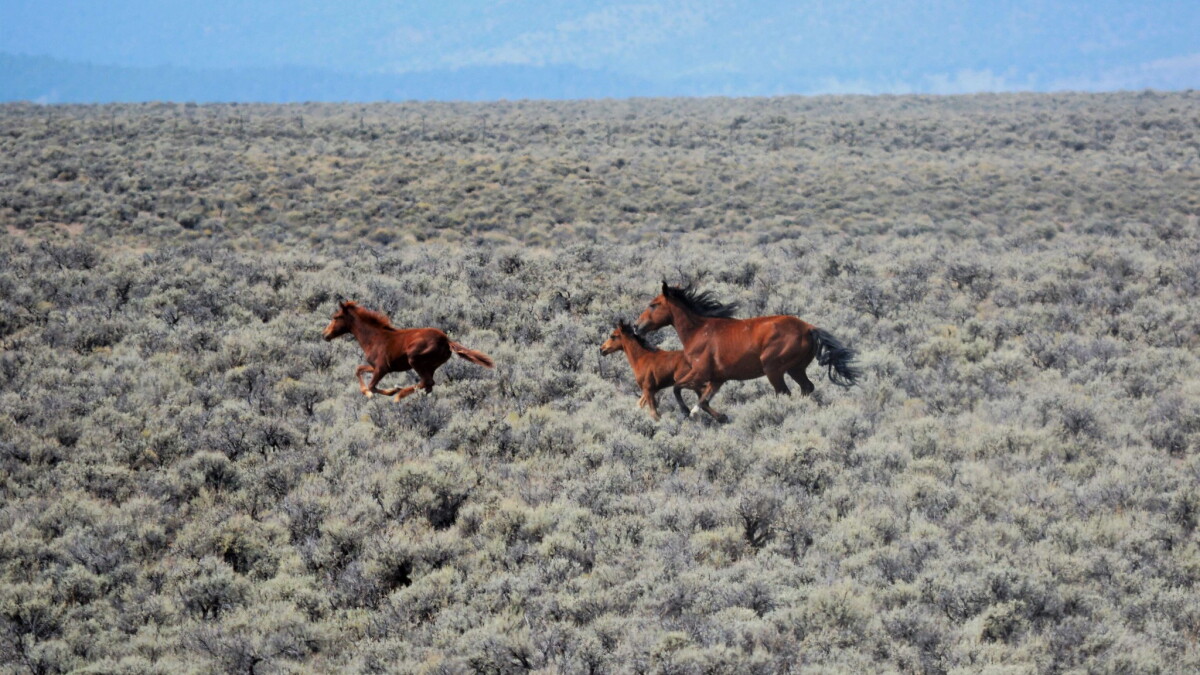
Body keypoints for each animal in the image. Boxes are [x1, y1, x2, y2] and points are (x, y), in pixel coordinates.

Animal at [322, 300, 494, 402]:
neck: (374, 337)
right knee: (428, 385)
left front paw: (390, 391)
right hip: (430, 366)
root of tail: (446, 340)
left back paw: (400, 395)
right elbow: (359, 369)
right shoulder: (375, 366)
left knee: (427, 382)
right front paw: (377, 391)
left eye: (336, 317)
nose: (325, 335)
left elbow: (372, 386)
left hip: (415, 360)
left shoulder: (382, 368)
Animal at [635, 281, 860, 422]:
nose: (637, 326)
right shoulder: (717, 379)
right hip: (796, 369)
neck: (699, 331)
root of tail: (809, 328)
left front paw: (686, 412)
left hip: (774, 370)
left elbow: (677, 388)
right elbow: (703, 401)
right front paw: (719, 417)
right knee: (807, 388)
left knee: (784, 393)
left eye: (653, 305)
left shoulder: (700, 372)